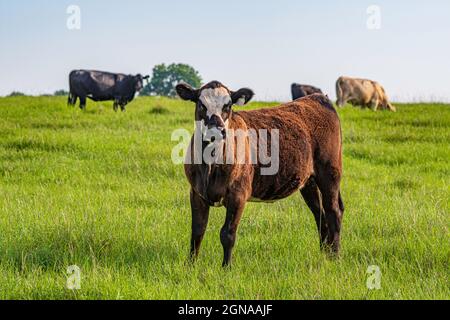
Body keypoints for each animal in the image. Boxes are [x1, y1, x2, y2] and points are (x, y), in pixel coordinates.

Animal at [176, 80, 344, 268]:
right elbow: (197, 230)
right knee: (320, 214)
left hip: (330, 172)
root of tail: (318, 97)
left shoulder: (238, 194)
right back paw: (325, 254)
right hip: (308, 181)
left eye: (228, 105)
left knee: (333, 211)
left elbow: (227, 234)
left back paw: (335, 256)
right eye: (201, 104)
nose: (216, 131)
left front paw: (226, 268)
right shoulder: (196, 193)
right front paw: (190, 265)